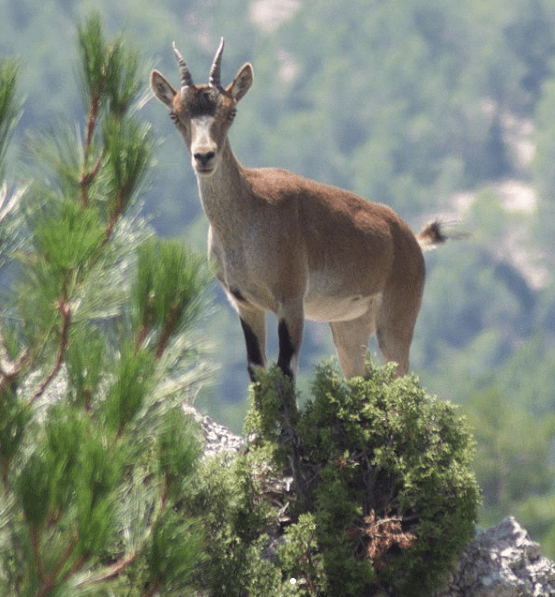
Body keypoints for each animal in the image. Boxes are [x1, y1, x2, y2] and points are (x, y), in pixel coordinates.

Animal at [150, 39, 446, 380]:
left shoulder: (290, 302)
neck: (248, 215)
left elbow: (286, 371)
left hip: (396, 320)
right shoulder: (246, 304)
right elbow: (258, 370)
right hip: (349, 326)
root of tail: (409, 239)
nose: (204, 156)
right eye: (175, 115)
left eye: (231, 110)